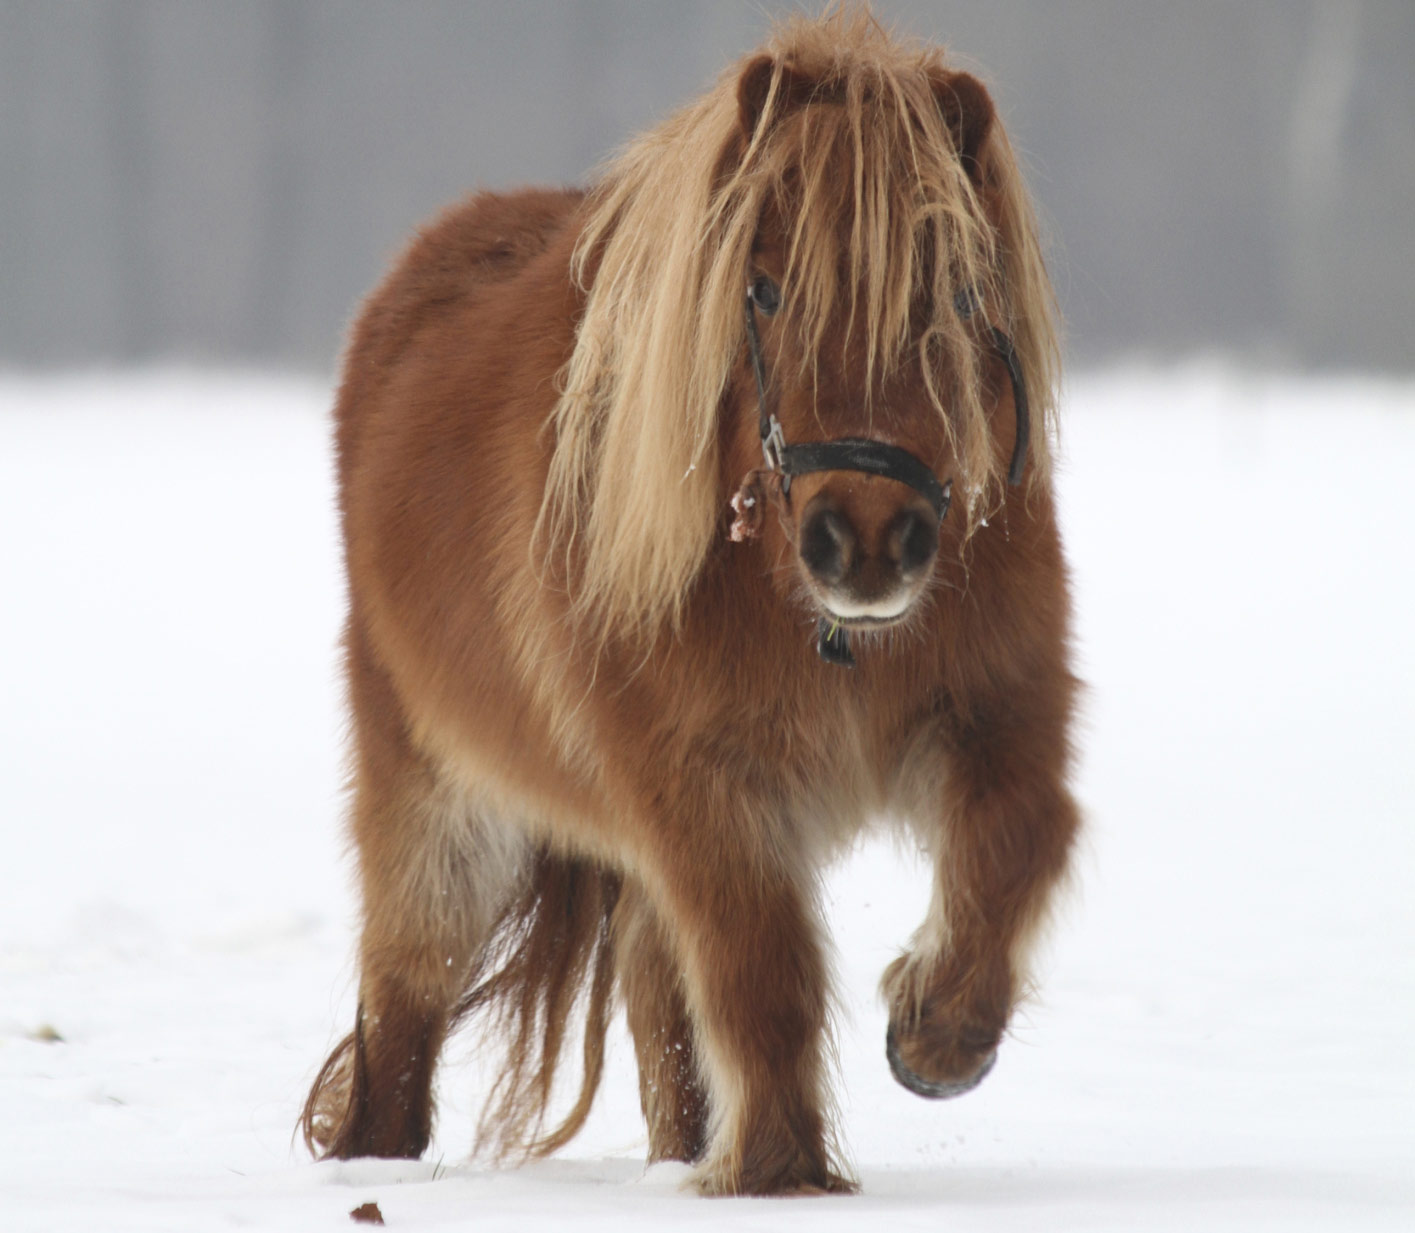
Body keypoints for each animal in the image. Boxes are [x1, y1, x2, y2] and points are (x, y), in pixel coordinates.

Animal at [301, 8, 1079, 1197]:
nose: (865, 543)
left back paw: (679, 1155)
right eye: (761, 289)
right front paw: (784, 1172)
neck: (801, 617)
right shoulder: (700, 789)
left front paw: (935, 1033)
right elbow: (763, 972)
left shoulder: (997, 710)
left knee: (660, 1010)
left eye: (957, 292)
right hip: (437, 804)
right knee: (405, 1006)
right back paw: (374, 1170)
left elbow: (1021, 839)